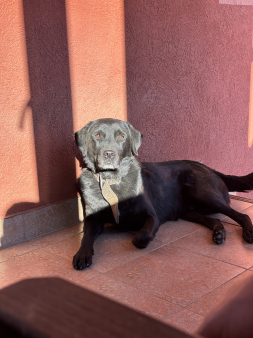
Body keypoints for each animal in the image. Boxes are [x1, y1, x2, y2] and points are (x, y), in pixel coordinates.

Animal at [72, 118, 253, 270]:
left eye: (121, 137)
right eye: (97, 135)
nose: (108, 154)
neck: (111, 181)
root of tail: (210, 168)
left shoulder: (152, 217)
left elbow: (141, 236)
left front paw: (135, 234)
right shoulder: (93, 219)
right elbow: (86, 235)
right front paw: (82, 254)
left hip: (205, 194)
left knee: (242, 215)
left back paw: (248, 232)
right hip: (188, 211)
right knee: (215, 219)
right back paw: (219, 233)